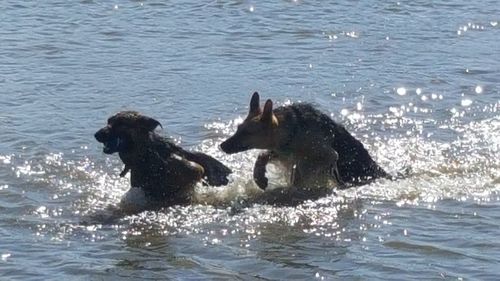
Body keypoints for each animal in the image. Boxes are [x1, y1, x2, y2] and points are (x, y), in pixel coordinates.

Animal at [221, 92, 388, 190]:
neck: (292, 130)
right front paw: (260, 178)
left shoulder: (328, 155)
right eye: (238, 128)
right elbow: (262, 156)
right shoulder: (282, 152)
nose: (221, 146)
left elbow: (301, 172)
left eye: (247, 133)